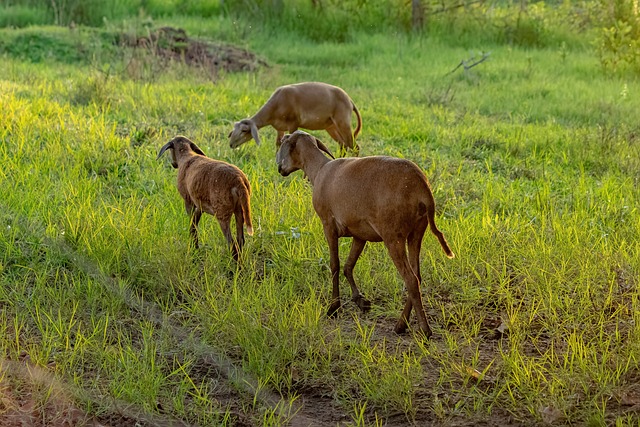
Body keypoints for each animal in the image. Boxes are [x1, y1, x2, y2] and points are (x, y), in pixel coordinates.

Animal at [229, 81, 360, 154]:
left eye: (244, 130)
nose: (231, 144)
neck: (277, 104)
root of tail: (350, 101)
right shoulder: (279, 128)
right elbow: (278, 144)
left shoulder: (293, 123)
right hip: (331, 126)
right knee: (343, 145)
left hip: (342, 122)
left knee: (355, 147)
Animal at [276, 130, 456, 338]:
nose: (279, 168)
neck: (320, 170)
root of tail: (423, 188)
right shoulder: (359, 235)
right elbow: (348, 266)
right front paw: (361, 301)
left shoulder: (328, 225)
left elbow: (335, 265)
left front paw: (334, 308)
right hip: (416, 232)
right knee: (416, 277)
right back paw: (401, 325)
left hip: (393, 236)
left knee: (410, 280)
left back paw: (425, 330)